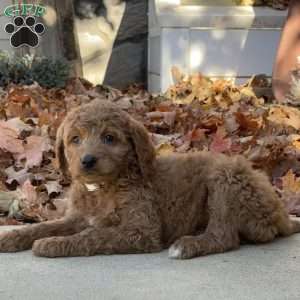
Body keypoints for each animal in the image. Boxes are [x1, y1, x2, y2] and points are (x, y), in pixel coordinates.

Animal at [0, 99, 298, 258]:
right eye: (75, 139)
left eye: (109, 138)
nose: (87, 160)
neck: (104, 187)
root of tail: (281, 215)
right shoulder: (76, 217)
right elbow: (46, 226)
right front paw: (15, 237)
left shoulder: (142, 230)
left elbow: (95, 234)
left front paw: (53, 244)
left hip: (226, 177)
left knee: (224, 235)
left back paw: (187, 244)